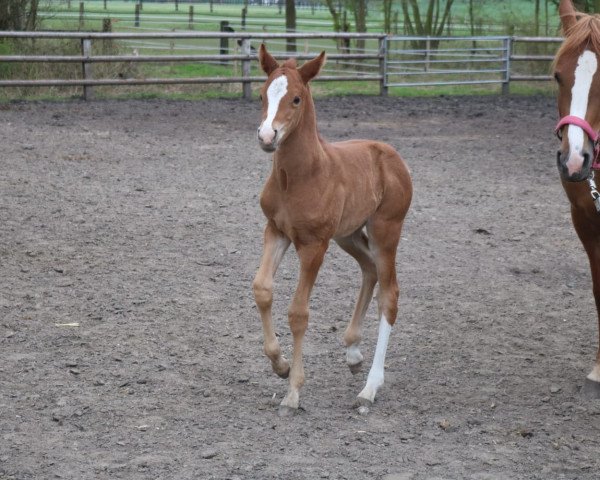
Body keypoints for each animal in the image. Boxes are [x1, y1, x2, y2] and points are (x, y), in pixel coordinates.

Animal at [252, 45, 412, 412]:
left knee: (389, 294)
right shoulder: (276, 231)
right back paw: (352, 352)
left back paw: (370, 387)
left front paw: (293, 391)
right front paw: (280, 365)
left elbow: (298, 312)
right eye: (262, 94)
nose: (268, 136)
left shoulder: (314, 245)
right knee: (370, 270)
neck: (299, 176)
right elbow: (262, 289)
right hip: (347, 235)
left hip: (385, 231)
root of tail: (391, 154)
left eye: (296, 99)